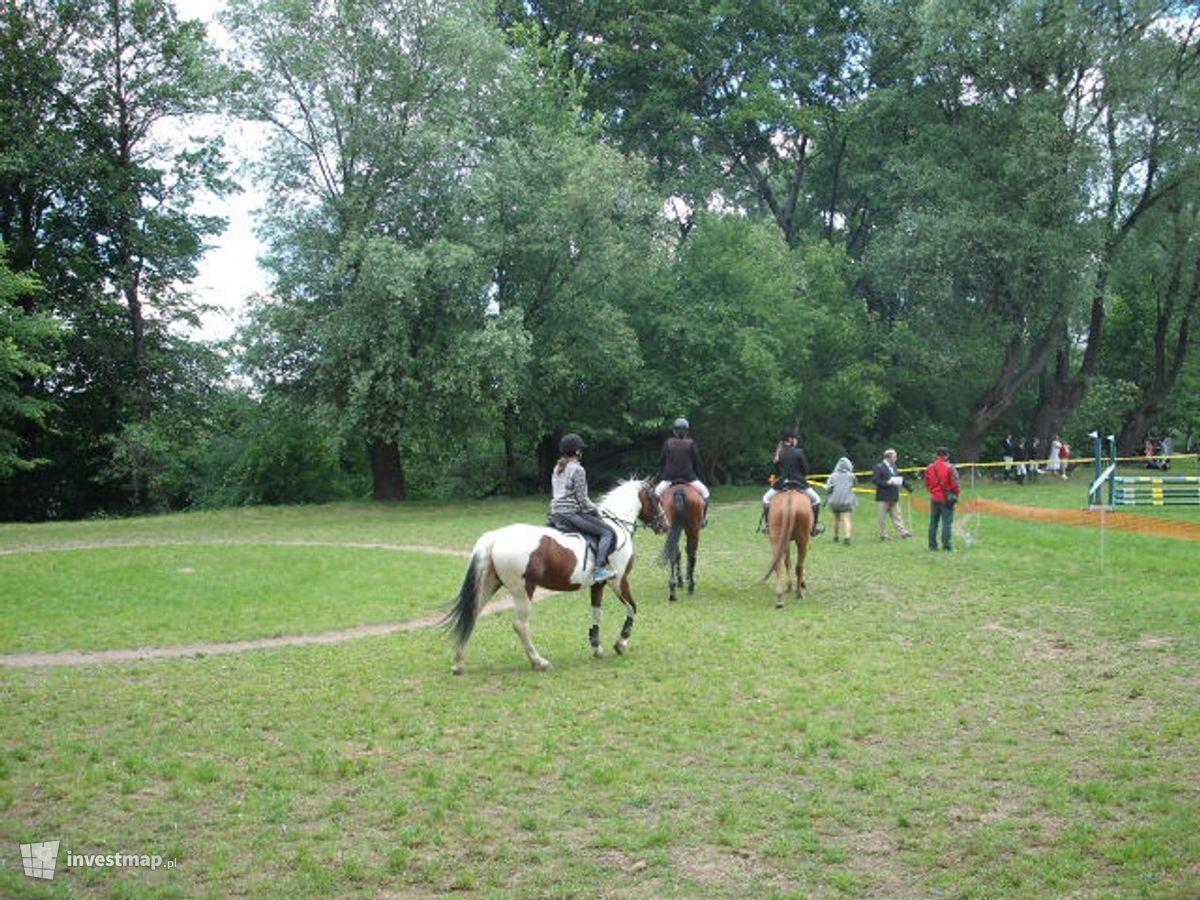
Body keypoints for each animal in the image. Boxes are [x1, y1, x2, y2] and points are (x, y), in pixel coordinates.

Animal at [446, 480, 667, 676]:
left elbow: (597, 613)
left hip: (489, 585)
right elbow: (633, 608)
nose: (665, 525)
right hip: (523, 590)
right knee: (520, 625)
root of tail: (495, 538)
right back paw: (539, 661)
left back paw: (458, 663)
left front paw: (597, 647)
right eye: (656, 499)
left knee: (472, 615)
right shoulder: (619, 581)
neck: (616, 526)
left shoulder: (598, 584)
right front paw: (621, 643)